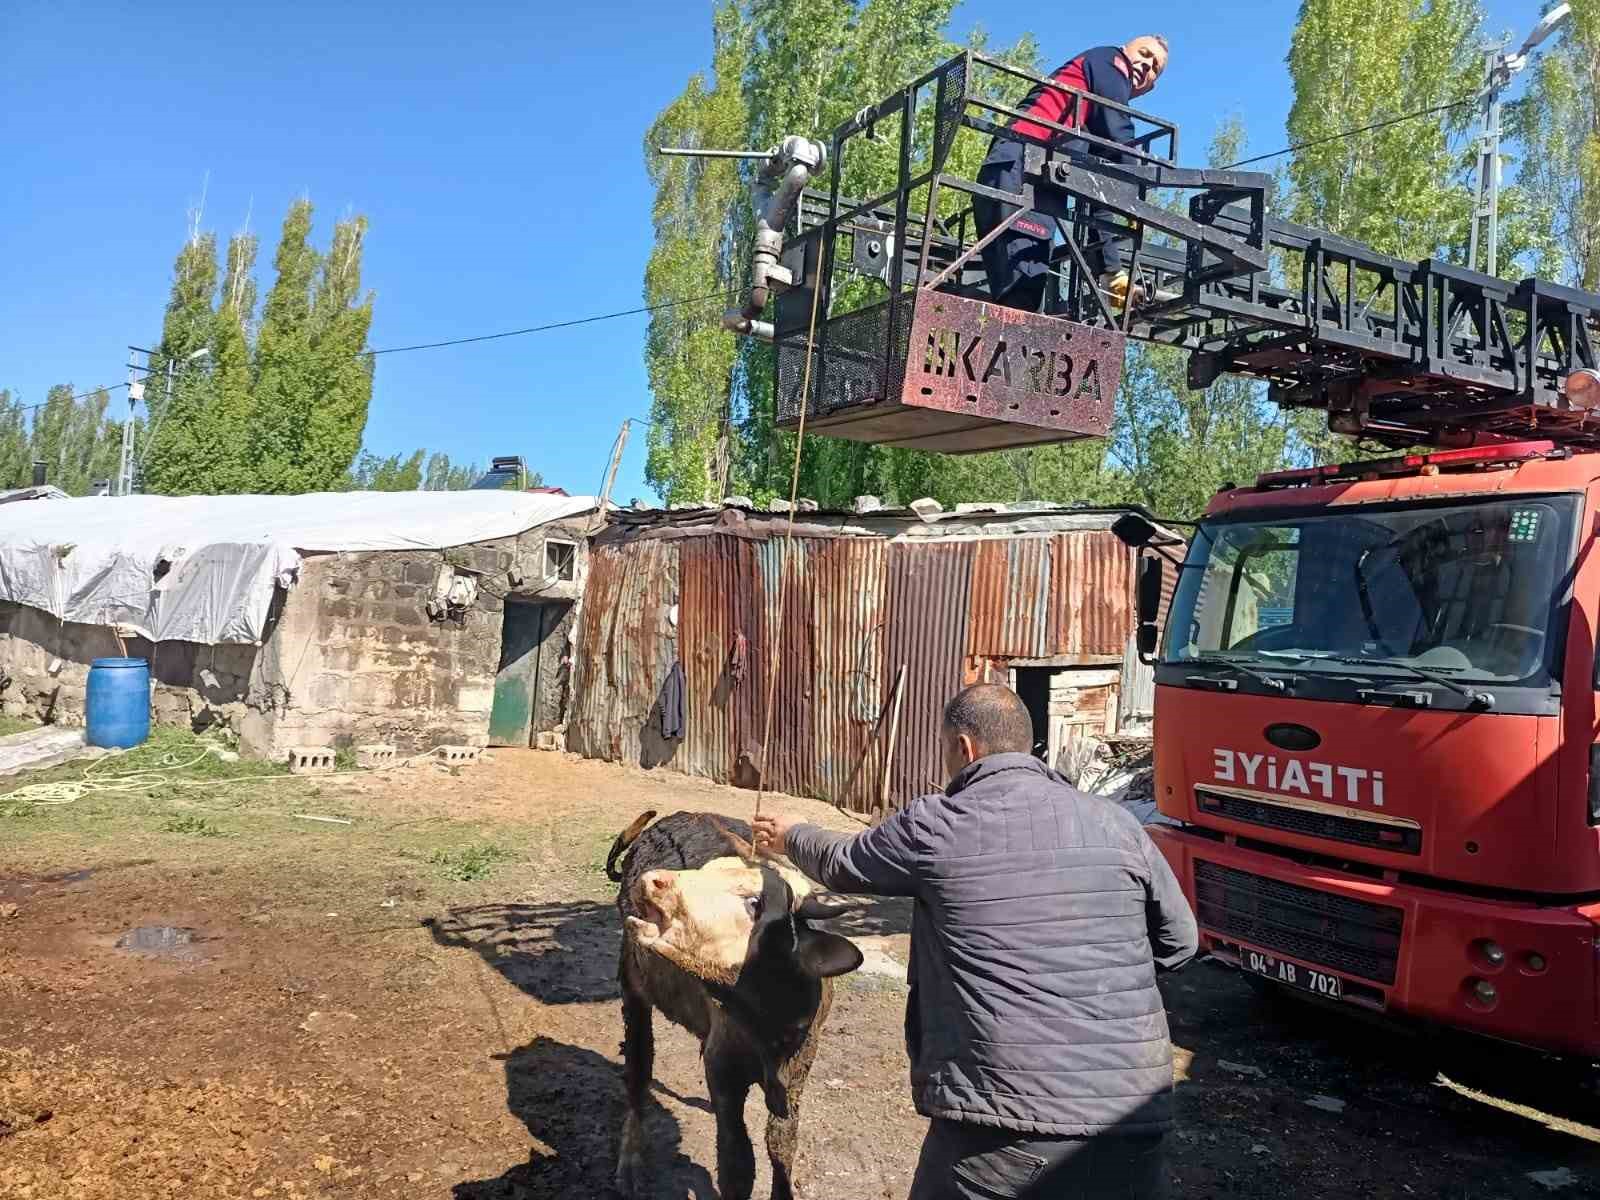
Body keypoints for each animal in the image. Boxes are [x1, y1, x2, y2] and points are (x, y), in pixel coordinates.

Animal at [608, 812, 864, 1196]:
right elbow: (737, 1161)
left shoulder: (801, 1063)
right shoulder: (724, 1069)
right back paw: (629, 1163)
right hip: (633, 986)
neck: (769, 1016)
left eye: (755, 903)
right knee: (638, 1072)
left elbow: (781, 1142)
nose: (654, 880)